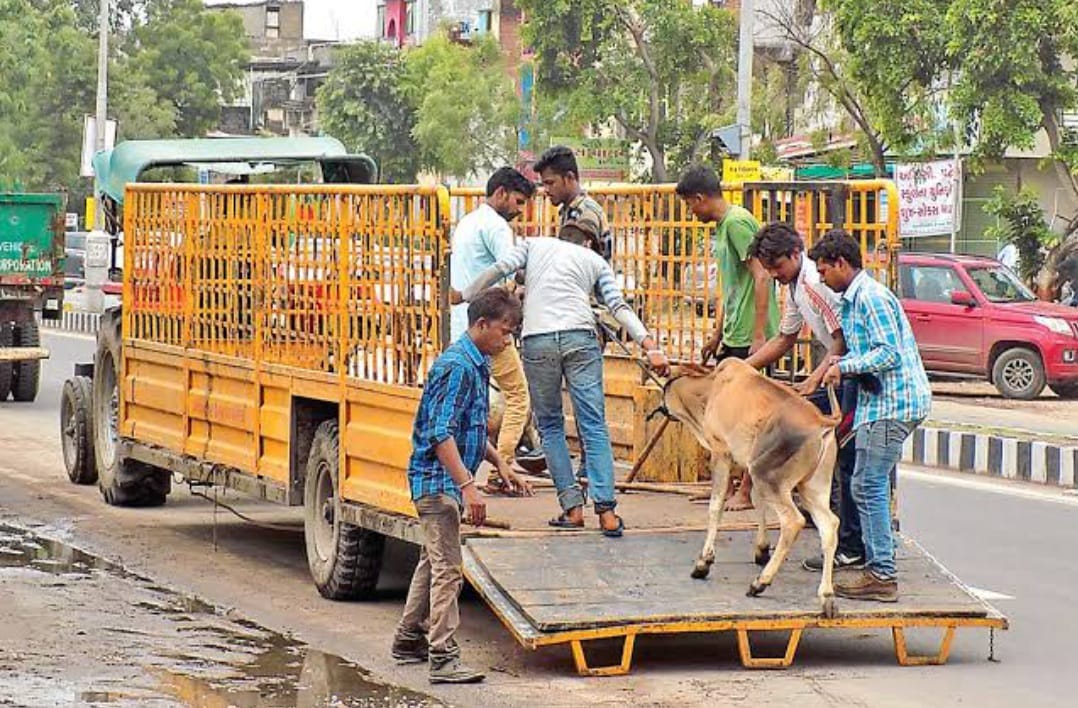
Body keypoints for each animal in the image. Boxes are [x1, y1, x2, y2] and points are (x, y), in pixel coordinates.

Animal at [664, 355, 840, 616]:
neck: (712, 387)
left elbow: (716, 506)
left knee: (793, 521)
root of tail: (822, 422)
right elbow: (758, 502)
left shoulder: (722, 453)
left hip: (769, 477)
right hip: (812, 487)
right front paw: (761, 549)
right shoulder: (747, 464)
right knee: (830, 525)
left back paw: (760, 583)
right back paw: (826, 596)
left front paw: (704, 563)